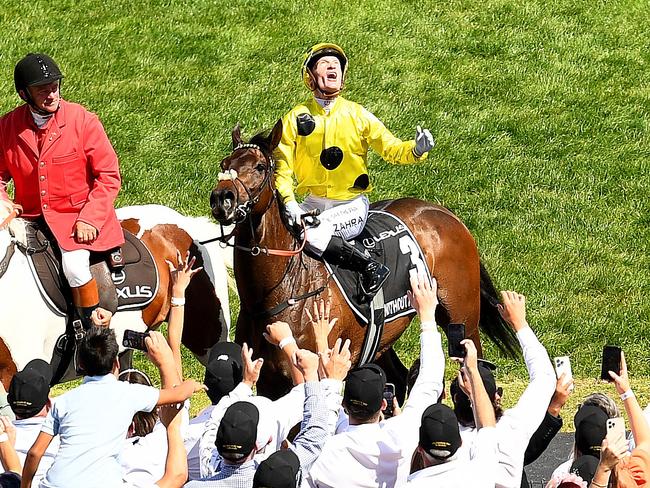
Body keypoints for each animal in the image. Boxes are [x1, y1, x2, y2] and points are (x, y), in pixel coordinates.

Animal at [210, 122, 520, 400]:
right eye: (224, 163)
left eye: (260, 167)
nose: (222, 198)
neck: (278, 291)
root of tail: (443, 212)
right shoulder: (268, 383)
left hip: (462, 318)